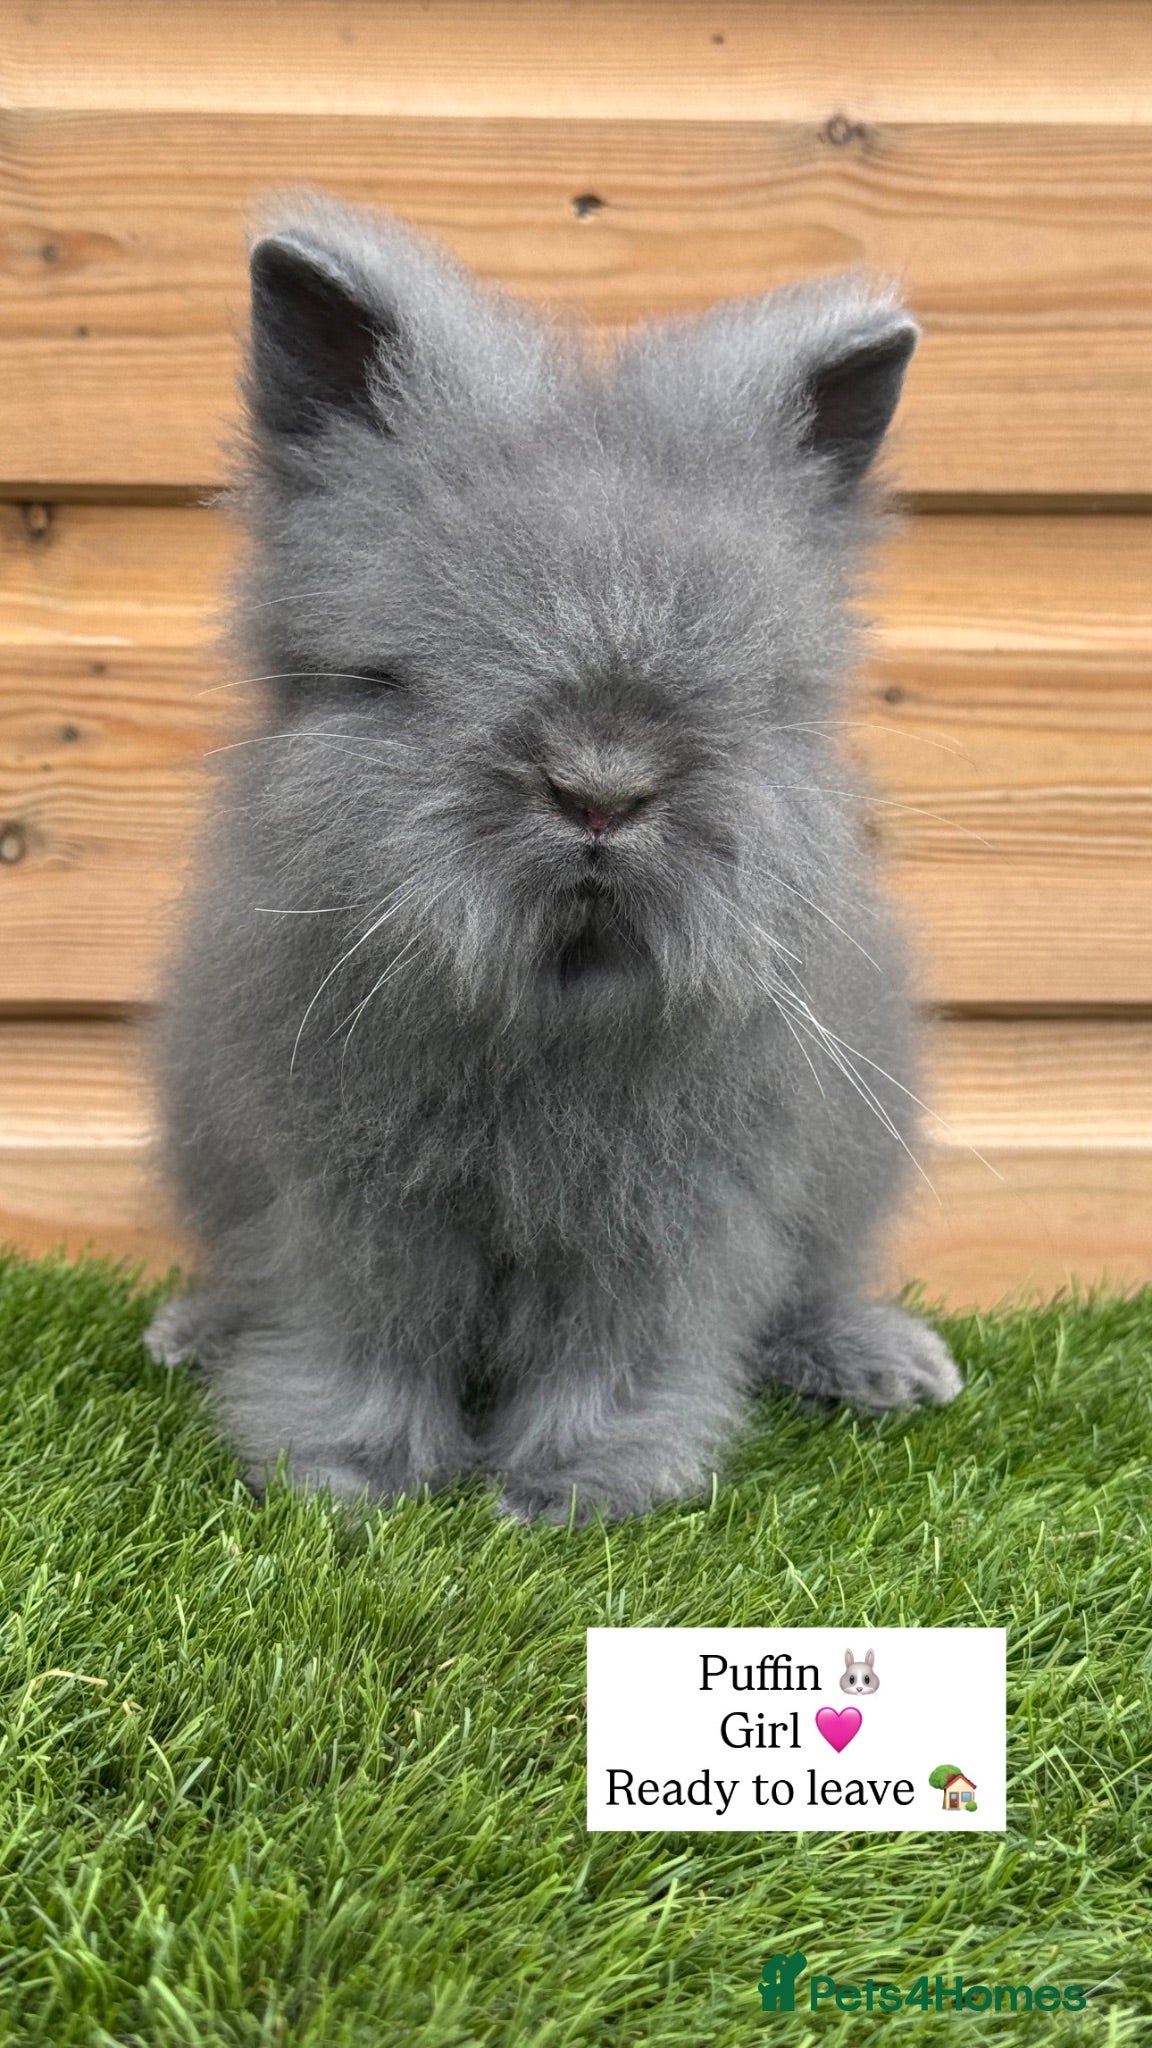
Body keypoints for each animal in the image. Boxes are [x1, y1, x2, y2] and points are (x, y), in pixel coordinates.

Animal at [145, 191, 962, 1521]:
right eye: (392, 678)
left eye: (761, 695)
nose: (601, 789)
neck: (547, 1011)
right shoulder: (347, 1207)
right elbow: (364, 1333)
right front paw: (346, 1482)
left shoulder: (670, 1218)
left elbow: (615, 1346)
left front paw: (578, 1492)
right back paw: (193, 1331)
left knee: (813, 1285)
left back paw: (886, 1365)